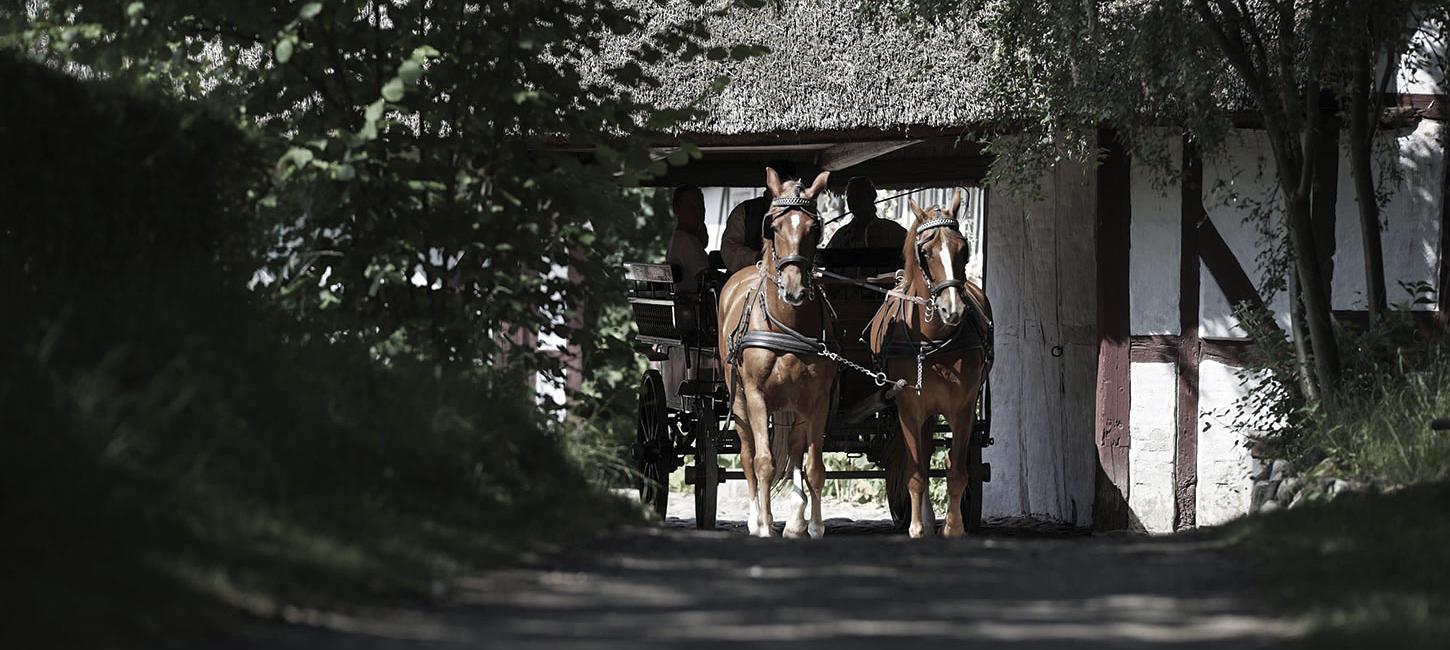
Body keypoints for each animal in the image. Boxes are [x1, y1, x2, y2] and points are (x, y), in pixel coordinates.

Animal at [719, 166, 835, 539]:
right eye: (774, 226)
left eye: (814, 227)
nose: (795, 289)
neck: (787, 326)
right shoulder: (756, 395)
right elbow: (763, 462)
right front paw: (764, 525)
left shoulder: (817, 399)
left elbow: (813, 466)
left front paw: (814, 526)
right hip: (740, 402)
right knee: (747, 455)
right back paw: (756, 518)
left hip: (793, 404)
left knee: (796, 451)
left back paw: (796, 521)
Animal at [864, 191, 991, 539]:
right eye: (924, 251)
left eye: (963, 248)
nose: (953, 308)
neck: (933, 340)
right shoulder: (909, 409)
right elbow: (916, 471)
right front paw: (918, 527)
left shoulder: (962, 409)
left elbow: (957, 471)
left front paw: (953, 527)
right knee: (917, 458)